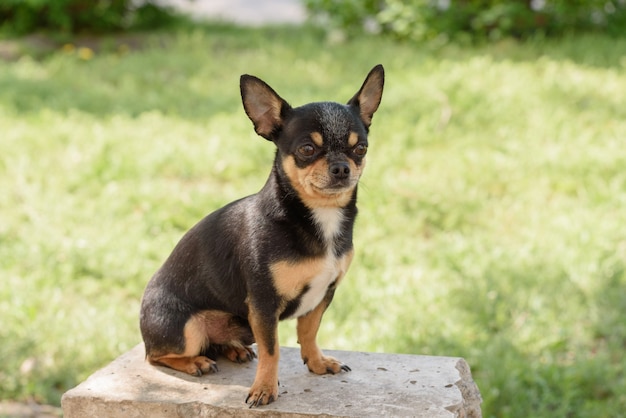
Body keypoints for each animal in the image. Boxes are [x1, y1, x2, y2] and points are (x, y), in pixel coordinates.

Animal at [140, 63, 382, 406]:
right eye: (307, 149)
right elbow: (273, 350)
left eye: (360, 149)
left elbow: (309, 333)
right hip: (186, 329)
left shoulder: (323, 293)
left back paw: (233, 349)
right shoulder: (264, 305)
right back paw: (195, 362)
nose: (341, 168)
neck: (319, 217)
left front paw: (317, 362)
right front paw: (265, 389)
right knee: (156, 356)